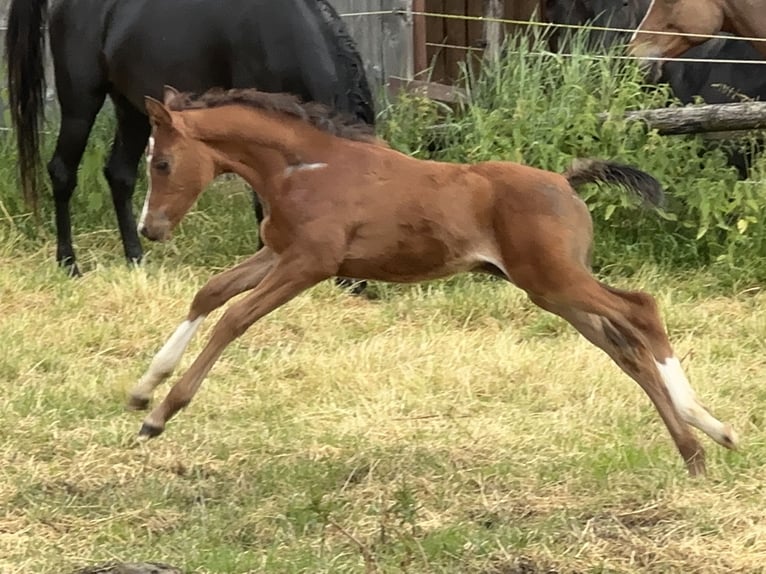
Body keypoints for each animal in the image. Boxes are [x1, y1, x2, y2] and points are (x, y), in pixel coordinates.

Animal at [5, 0, 375, 284]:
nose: (356, 284)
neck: (283, 34)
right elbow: (262, 200)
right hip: (81, 101)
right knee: (62, 172)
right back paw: (69, 264)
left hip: (133, 107)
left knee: (119, 174)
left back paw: (136, 259)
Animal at [126, 85, 739, 476]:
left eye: (161, 164)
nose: (149, 229)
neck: (304, 169)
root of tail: (566, 181)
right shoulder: (278, 253)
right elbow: (210, 292)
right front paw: (142, 388)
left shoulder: (310, 264)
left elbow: (234, 318)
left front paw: (160, 415)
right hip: (550, 291)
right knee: (626, 350)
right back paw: (696, 453)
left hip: (557, 279)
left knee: (641, 309)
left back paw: (710, 427)